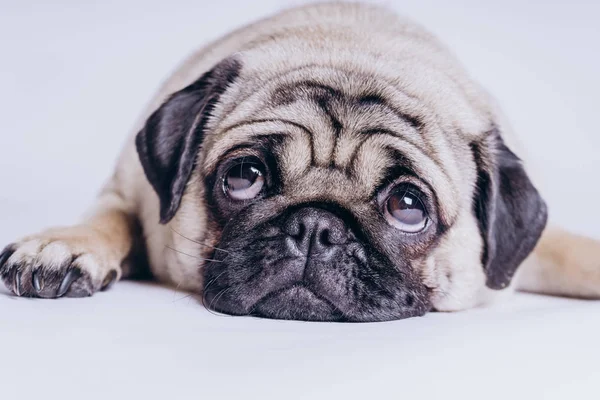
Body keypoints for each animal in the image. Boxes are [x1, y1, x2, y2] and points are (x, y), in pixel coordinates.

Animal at [1, 2, 600, 322]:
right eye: (244, 177)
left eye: (408, 206)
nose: (316, 226)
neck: (354, 46)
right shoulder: (129, 189)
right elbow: (111, 216)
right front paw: (66, 245)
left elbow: (573, 251)